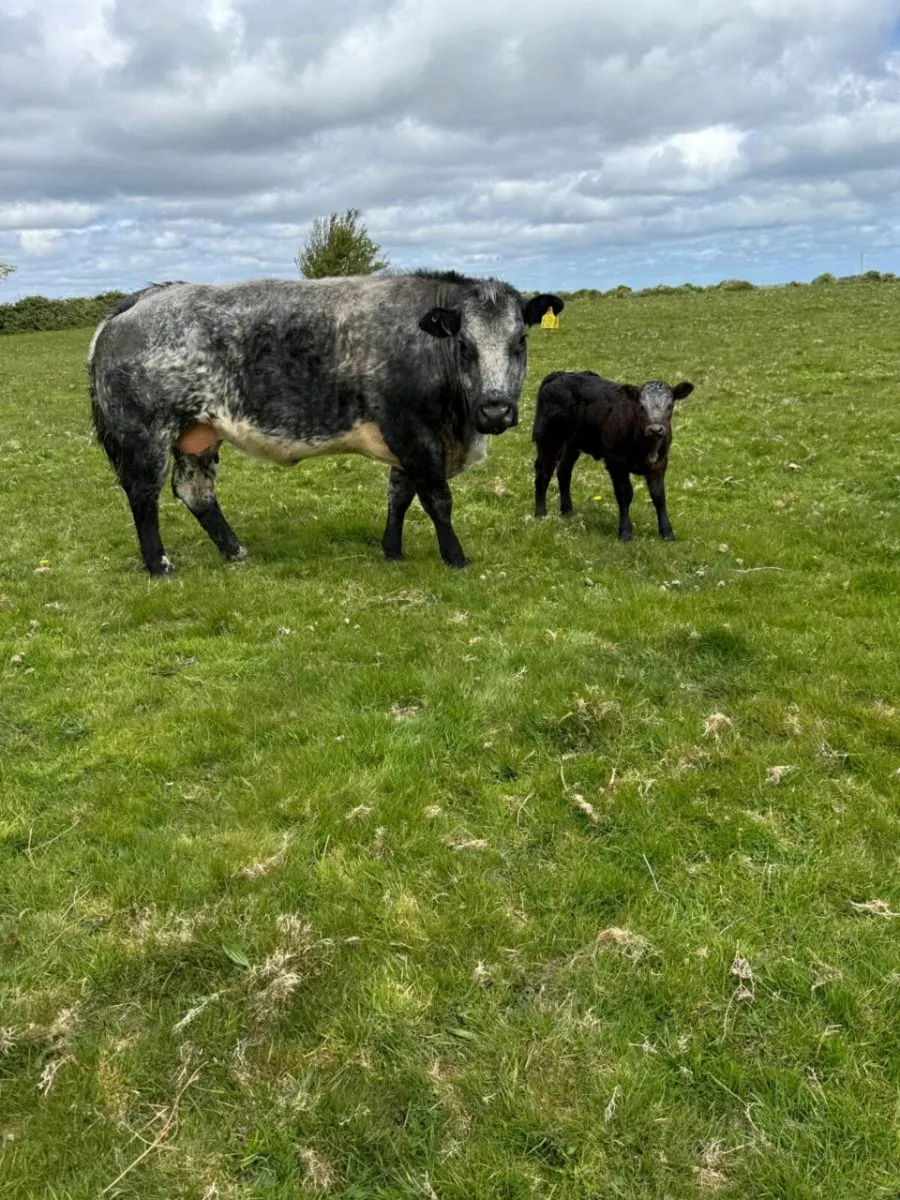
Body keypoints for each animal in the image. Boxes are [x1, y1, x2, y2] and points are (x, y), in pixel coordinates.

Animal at [88, 273, 564, 575]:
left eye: (520, 340)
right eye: (465, 345)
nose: (496, 410)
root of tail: (142, 300)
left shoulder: (407, 442)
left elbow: (399, 495)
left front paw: (392, 551)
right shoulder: (414, 433)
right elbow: (436, 500)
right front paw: (456, 558)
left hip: (198, 434)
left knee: (195, 491)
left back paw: (236, 551)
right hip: (144, 435)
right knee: (143, 495)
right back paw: (160, 565)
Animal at [532, 371, 695, 540]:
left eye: (670, 406)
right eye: (641, 407)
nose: (656, 429)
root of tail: (560, 374)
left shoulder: (660, 463)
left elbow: (659, 496)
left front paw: (667, 533)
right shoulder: (616, 461)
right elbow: (625, 494)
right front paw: (625, 532)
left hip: (572, 444)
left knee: (564, 470)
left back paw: (568, 511)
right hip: (548, 438)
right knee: (543, 472)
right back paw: (541, 513)